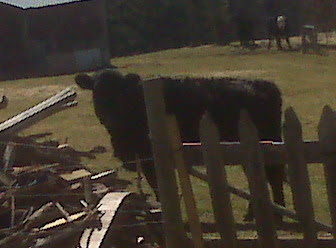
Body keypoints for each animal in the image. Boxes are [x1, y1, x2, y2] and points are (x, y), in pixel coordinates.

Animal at [75, 69, 284, 221]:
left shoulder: (149, 157)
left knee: (273, 176)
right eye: (97, 93)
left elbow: (157, 186)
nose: (109, 117)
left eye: (121, 94)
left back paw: (277, 213)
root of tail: (265, 85)